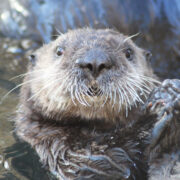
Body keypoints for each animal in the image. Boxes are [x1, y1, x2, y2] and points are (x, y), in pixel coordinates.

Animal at [15, 28, 180, 180]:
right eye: (59, 51)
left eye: (128, 52)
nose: (95, 60)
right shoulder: (56, 146)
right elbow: (109, 164)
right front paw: (157, 114)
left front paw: (170, 91)